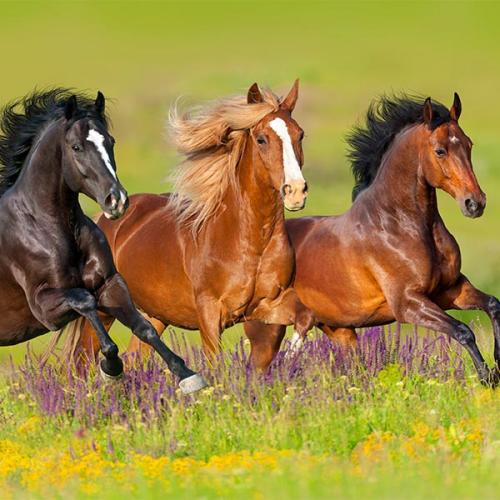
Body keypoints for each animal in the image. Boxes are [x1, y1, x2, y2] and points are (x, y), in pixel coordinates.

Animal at [0, 90, 205, 394]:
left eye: (110, 141)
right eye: (76, 147)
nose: (116, 200)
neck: (46, 227)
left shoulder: (109, 284)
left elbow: (144, 327)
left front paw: (187, 375)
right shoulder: (44, 308)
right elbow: (85, 301)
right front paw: (112, 367)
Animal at [65, 80, 308, 366]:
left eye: (300, 135)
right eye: (261, 139)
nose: (295, 191)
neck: (249, 241)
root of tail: (102, 220)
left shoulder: (271, 303)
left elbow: (303, 318)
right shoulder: (210, 313)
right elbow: (215, 362)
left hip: (154, 315)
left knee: (136, 355)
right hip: (104, 309)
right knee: (83, 360)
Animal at [244, 94, 498, 386]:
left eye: (469, 144)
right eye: (440, 151)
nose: (475, 203)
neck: (398, 224)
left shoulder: (451, 290)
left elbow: (493, 304)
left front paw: (498, 362)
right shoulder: (408, 304)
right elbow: (463, 330)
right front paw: (488, 377)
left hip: (339, 330)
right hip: (268, 330)